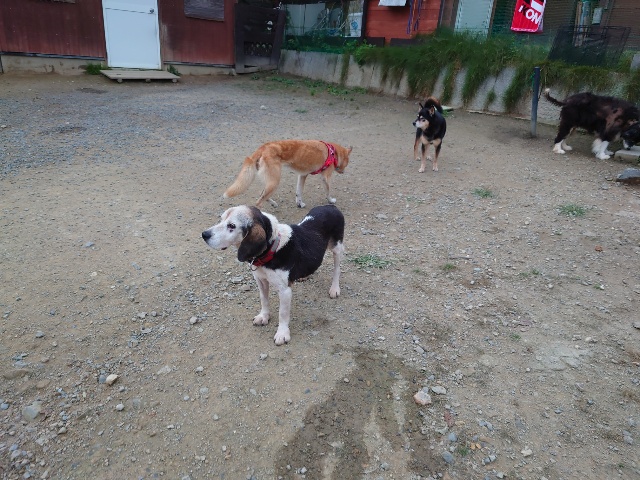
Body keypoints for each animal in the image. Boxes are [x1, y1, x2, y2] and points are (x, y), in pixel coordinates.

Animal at [201, 204, 344, 345]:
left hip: (337, 248)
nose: (204, 234)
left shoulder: (285, 290)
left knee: (337, 269)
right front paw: (264, 316)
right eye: (221, 219)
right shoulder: (261, 281)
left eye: (231, 226)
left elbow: (283, 313)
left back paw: (334, 289)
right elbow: (264, 300)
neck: (272, 249)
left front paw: (282, 333)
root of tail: (331, 206)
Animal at [223, 140, 352, 208]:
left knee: (262, 195)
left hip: (271, 182)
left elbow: (299, 192)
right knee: (258, 202)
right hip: (275, 181)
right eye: (347, 162)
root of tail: (264, 147)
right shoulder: (326, 178)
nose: (344, 172)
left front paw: (300, 204)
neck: (334, 152)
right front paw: (331, 201)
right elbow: (328, 192)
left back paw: (273, 204)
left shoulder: (302, 175)